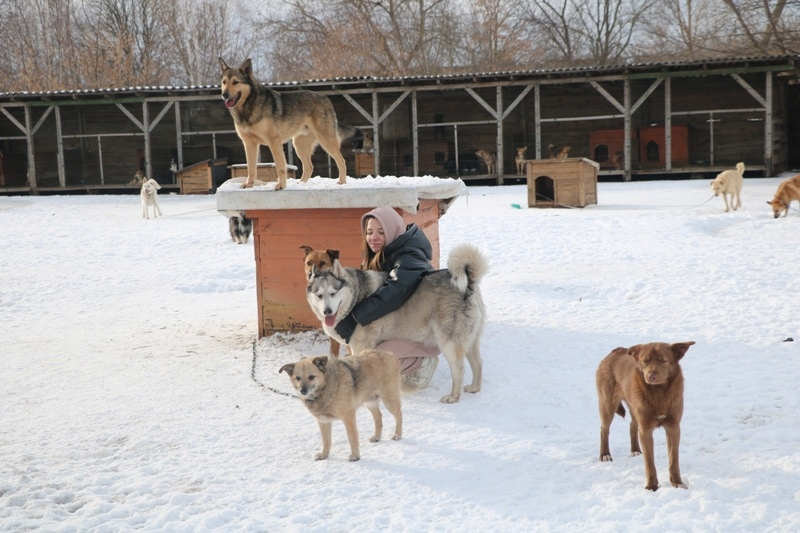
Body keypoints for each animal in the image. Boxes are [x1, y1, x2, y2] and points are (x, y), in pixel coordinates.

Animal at [216, 58, 360, 190]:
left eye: (235, 82)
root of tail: (326, 99)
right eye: (224, 82)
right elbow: (251, 168)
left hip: (326, 141)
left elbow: (280, 167)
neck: (247, 107)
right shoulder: (249, 143)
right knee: (309, 166)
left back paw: (342, 182)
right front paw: (249, 184)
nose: (224, 94)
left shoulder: (274, 142)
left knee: (341, 161)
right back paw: (301, 184)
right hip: (299, 145)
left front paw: (281, 185)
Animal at [306, 243, 488, 402]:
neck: (355, 298)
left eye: (333, 293)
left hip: (449, 344)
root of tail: (469, 285)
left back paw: (453, 397)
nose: (327, 311)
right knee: (478, 363)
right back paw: (474, 387)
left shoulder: (361, 347)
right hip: (469, 340)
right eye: (319, 295)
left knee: (459, 370)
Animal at [592, 340, 692, 490]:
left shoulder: (673, 428)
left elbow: (673, 459)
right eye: (645, 361)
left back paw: (635, 450)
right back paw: (605, 455)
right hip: (607, 404)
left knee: (632, 426)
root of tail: (615, 351)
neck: (658, 393)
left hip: (634, 407)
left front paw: (677, 483)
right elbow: (649, 462)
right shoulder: (646, 430)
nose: (651, 376)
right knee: (604, 429)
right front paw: (652, 486)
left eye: (663, 360)